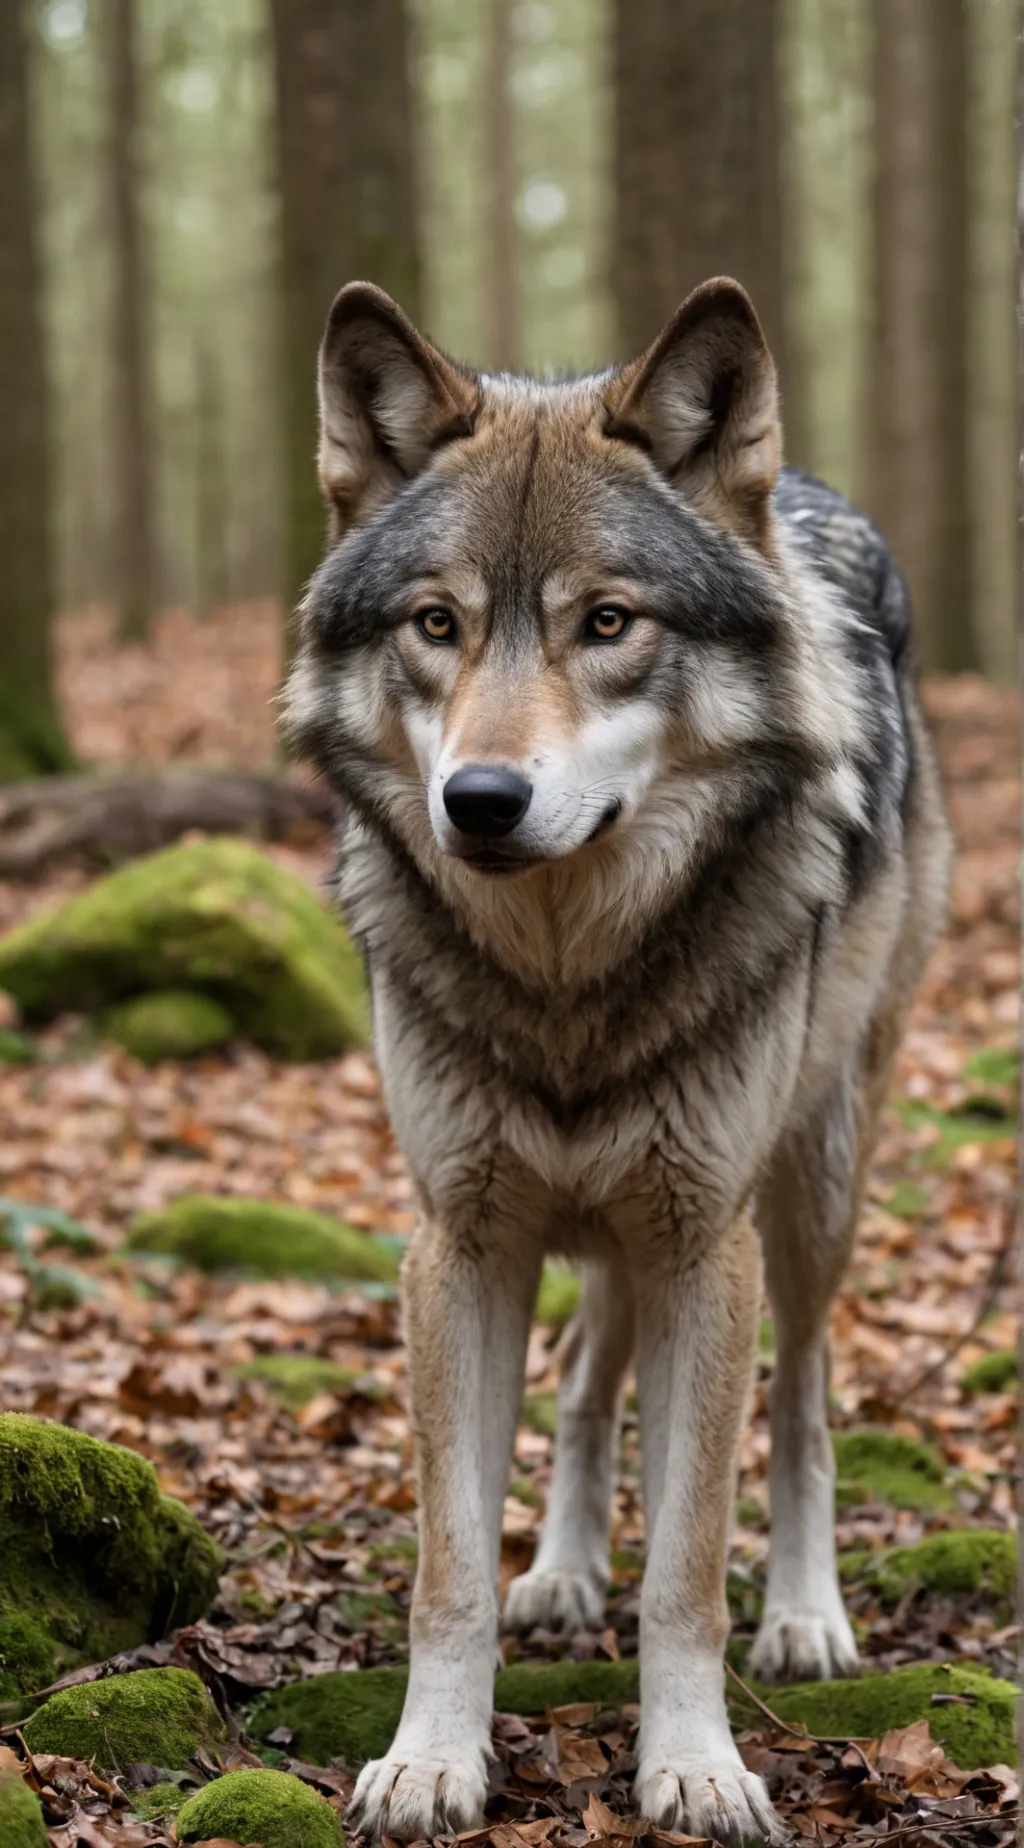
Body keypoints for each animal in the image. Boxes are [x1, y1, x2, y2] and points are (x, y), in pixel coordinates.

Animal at [282, 276, 951, 1844]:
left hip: (808, 1189)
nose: (480, 800)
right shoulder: (461, 1241)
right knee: (589, 1380)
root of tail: (808, 493)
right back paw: (566, 1572)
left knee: (808, 1401)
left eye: (606, 622)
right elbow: (450, 1569)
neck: (567, 981)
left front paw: (696, 1765)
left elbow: (689, 1570)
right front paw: (431, 1759)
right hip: (594, 1218)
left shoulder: (705, 1241)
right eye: (437, 623)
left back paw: (810, 1617)